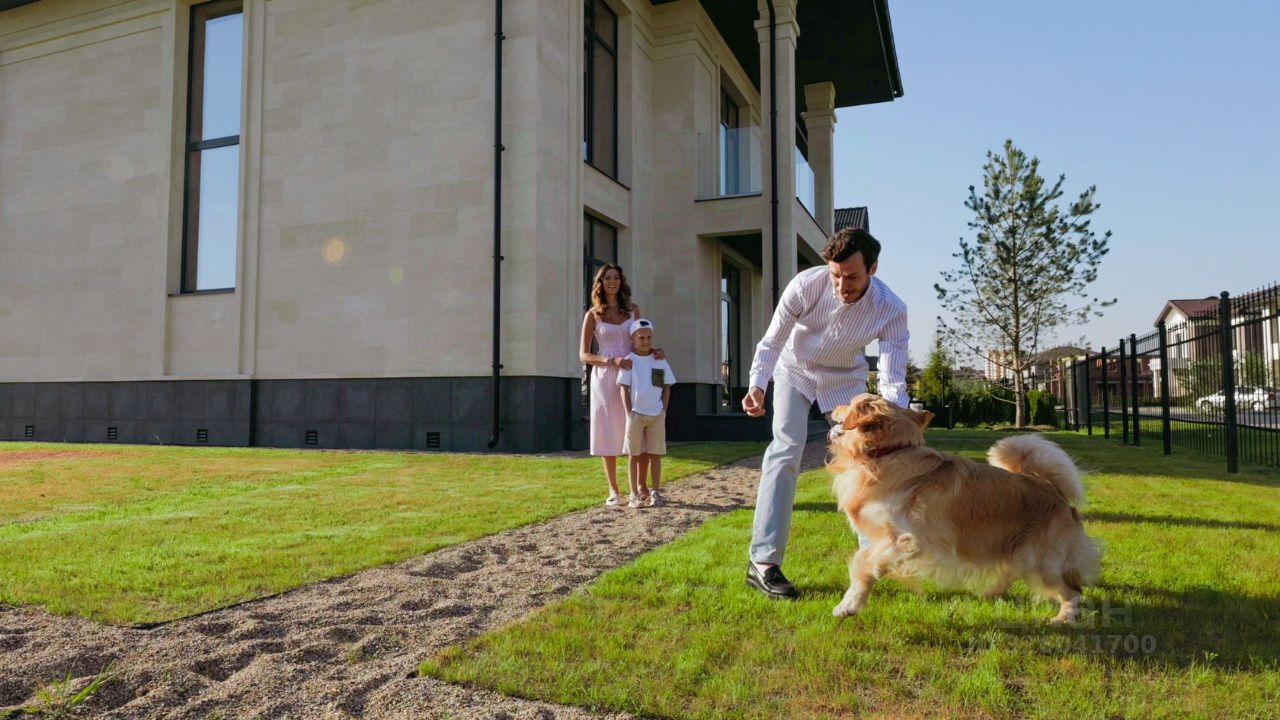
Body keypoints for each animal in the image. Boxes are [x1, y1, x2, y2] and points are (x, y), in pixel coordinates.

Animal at [826, 393, 1100, 624]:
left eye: (849, 404)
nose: (832, 407)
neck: (887, 453)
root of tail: (1054, 490)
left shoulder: (907, 540)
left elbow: (862, 563)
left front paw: (848, 606)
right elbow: (865, 559)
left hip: (1042, 560)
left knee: (1072, 589)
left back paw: (1064, 618)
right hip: (1013, 548)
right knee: (1013, 571)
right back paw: (990, 593)